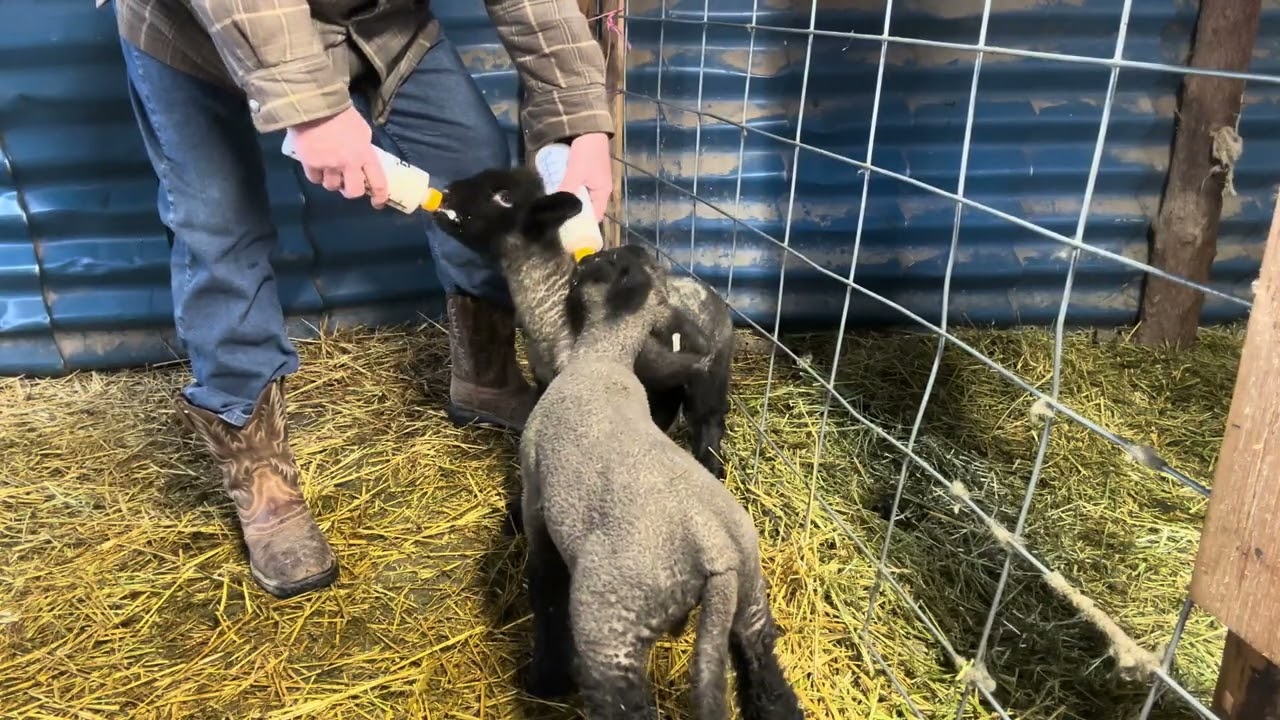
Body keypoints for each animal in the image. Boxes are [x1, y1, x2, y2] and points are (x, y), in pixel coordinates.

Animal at [431, 166, 734, 478]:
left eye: (504, 197)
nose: (447, 193)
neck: (551, 306)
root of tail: (708, 291)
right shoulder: (544, 379)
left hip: (712, 373)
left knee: (709, 419)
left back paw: (712, 465)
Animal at [516, 244, 804, 720]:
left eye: (596, 266)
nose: (585, 256)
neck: (603, 358)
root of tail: (714, 550)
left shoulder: (535, 498)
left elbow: (546, 587)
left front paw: (546, 677)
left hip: (612, 633)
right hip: (752, 603)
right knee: (770, 683)